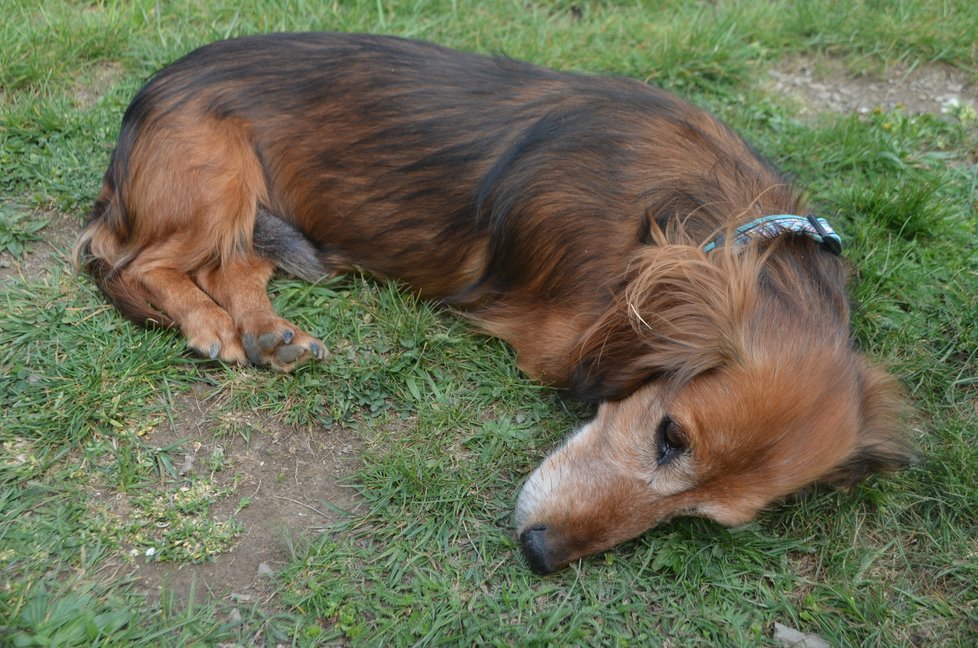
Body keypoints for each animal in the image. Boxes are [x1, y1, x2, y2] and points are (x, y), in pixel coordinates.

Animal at [74, 33, 908, 576]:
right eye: (670, 436)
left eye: (700, 518)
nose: (540, 555)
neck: (719, 224)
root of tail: (144, 102)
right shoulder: (560, 342)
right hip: (216, 176)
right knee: (135, 266)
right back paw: (207, 325)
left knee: (236, 264)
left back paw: (269, 333)